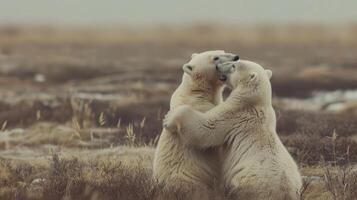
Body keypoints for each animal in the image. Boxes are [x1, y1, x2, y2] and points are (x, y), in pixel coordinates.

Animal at [152, 50, 239, 190]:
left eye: (223, 52)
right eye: (216, 58)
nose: (236, 57)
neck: (196, 92)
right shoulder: (201, 107)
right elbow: (208, 133)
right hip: (188, 177)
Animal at [163, 60, 300, 199]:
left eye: (234, 65)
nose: (218, 66)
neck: (254, 102)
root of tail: (286, 194)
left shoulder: (234, 115)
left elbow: (207, 128)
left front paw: (169, 118)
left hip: (250, 182)